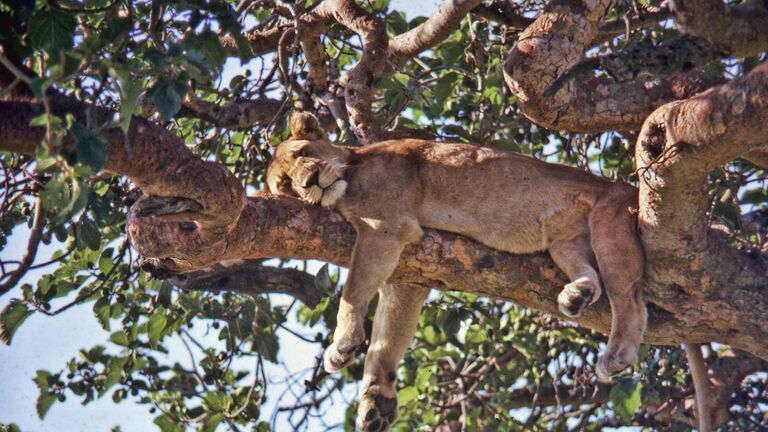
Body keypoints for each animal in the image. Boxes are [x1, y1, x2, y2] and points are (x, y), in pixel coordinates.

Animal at [268, 112, 644, 432]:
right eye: (286, 185)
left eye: (303, 152)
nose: (310, 180)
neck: (352, 167)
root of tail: (630, 187)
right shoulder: (405, 274)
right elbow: (386, 338)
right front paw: (377, 401)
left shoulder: (385, 227)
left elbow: (352, 292)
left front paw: (342, 344)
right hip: (565, 243)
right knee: (591, 275)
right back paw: (576, 294)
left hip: (610, 220)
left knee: (630, 301)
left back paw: (616, 355)